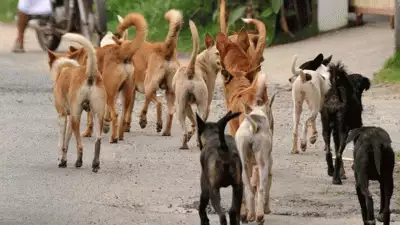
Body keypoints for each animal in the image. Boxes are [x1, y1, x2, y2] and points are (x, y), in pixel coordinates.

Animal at [46, 33, 108, 172]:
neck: (65, 68)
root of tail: (90, 74)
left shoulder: (63, 116)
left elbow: (61, 142)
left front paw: (60, 160)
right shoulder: (70, 117)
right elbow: (66, 142)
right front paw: (64, 160)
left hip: (76, 118)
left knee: (80, 144)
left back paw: (79, 162)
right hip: (97, 115)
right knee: (98, 140)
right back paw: (95, 164)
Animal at [172, 19, 222, 149]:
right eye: (217, 53)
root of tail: (190, 70)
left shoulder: (188, 105)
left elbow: (194, 121)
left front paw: (191, 134)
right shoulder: (205, 105)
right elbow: (195, 122)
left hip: (180, 107)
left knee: (185, 130)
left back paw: (185, 143)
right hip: (198, 105)